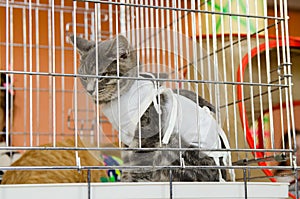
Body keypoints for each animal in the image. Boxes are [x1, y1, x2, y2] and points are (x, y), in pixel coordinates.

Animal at [69, 33, 230, 182]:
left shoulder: (149, 131)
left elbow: (141, 161)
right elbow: (128, 161)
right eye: (84, 76)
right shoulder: (127, 139)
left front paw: (135, 182)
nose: (90, 90)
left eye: (102, 75)